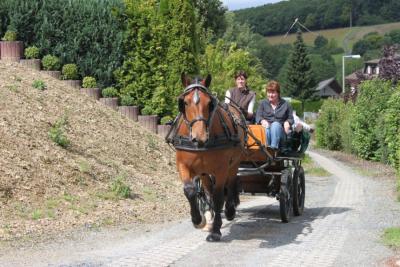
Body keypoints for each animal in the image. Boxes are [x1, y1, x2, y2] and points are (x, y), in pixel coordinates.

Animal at [166, 74, 247, 243]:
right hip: (203, 172)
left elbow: (218, 197)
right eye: (184, 102)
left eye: (210, 103)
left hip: (234, 162)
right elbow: (190, 190)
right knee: (208, 189)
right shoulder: (183, 165)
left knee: (231, 183)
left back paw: (229, 210)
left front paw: (215, 231)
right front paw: (198, 220)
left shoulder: (222, 168)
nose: (200, 137)